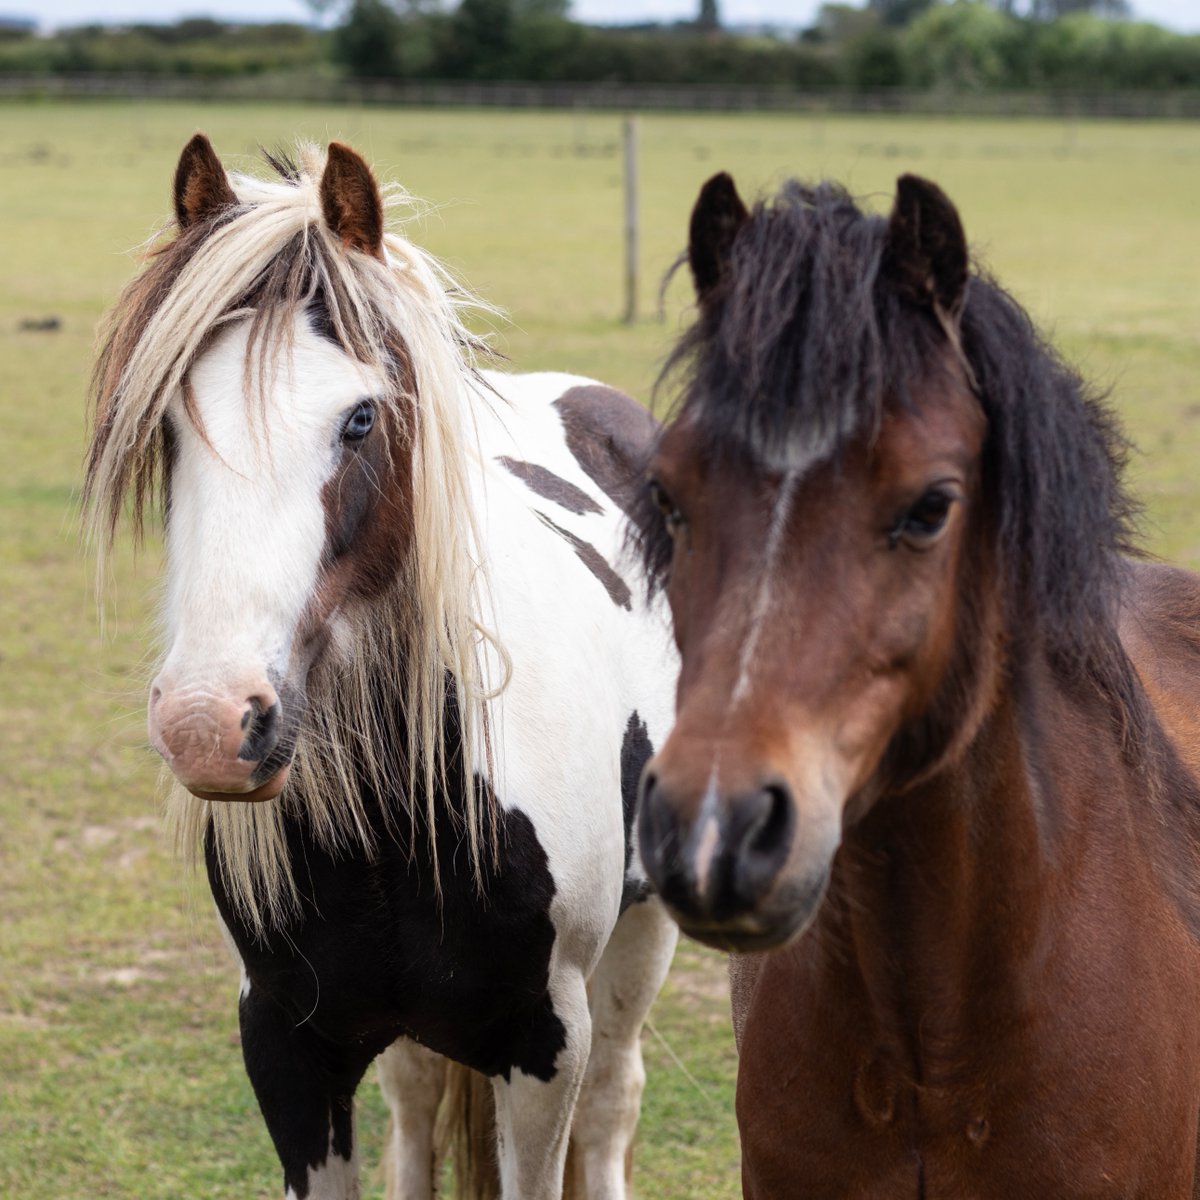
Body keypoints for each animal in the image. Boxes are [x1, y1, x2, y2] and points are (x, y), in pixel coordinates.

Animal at [83, 133, 679, 1200]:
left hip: (642, 939)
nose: (210, 723)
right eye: (170, 426)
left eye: (360, 419)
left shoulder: (547, 1043)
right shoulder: (284, 1041)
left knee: (614, 1105)